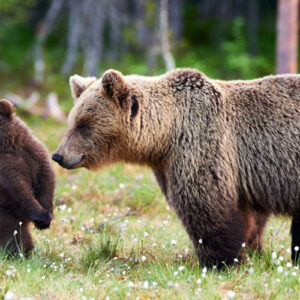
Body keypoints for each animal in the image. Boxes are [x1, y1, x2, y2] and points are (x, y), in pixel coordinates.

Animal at [0, 99, 54, 254]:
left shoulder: (34, 152)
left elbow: (47, 178)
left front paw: (47, 217)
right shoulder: (6, 166)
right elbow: (19, 188)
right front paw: (41, 216)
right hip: (5, 212)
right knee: (14, 233)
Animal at [52, 69, 300, 268]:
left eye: (84, 124)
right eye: (72, 121)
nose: (58, 155)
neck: (166, 135)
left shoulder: (202, 146)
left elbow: (205, 205)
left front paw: (219, 261)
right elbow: (250, 219)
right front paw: (249, 252)